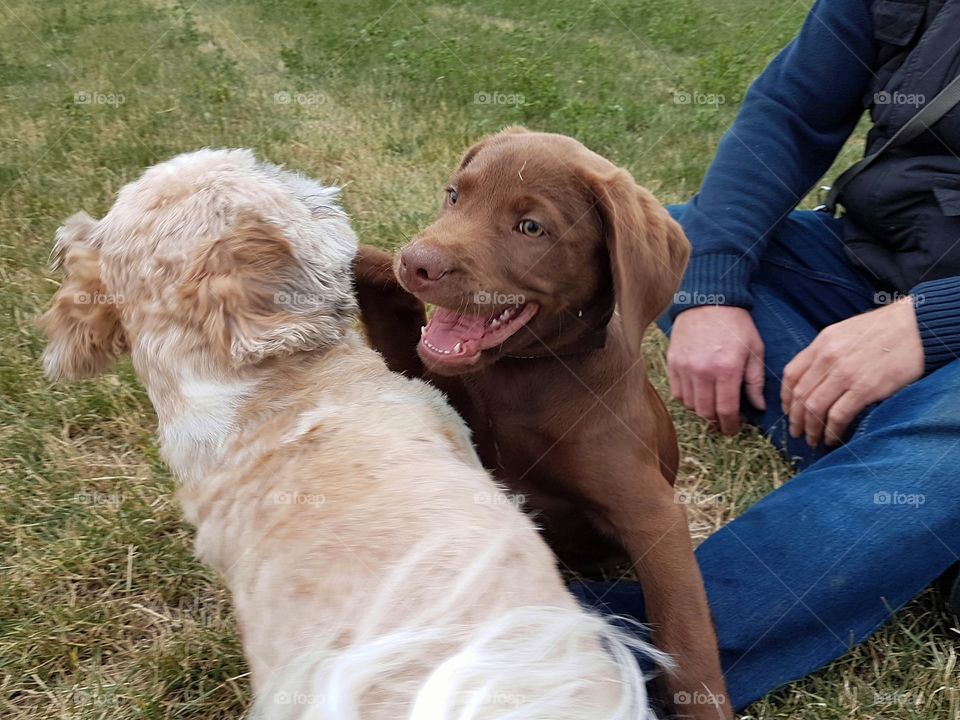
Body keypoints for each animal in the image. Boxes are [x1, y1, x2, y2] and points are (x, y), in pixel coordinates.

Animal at [358, 129, 728, 720]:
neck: (524, 377)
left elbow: (686, 635)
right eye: (454, 196)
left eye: (531, 227)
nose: (416, 264)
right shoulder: (432, 383)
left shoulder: (654, 516)